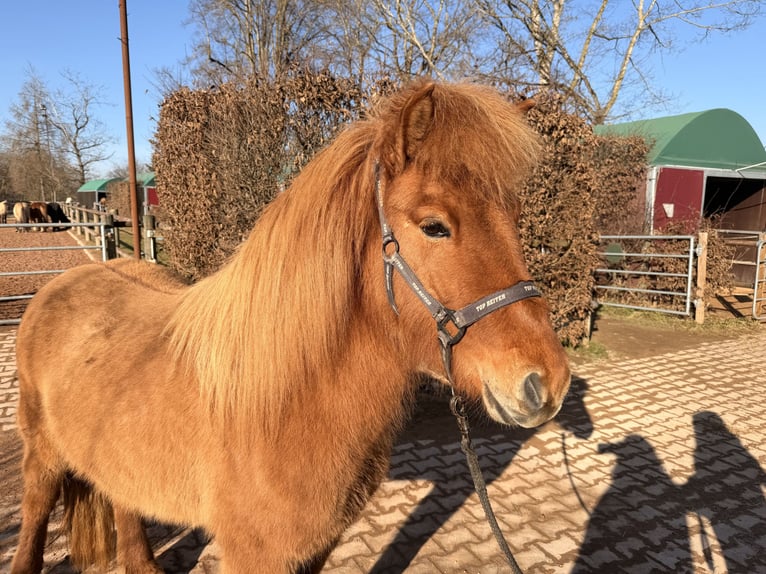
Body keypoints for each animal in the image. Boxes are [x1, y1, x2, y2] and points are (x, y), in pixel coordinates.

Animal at [11, 81, 571, 574]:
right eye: (434, 226)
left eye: (514, 216)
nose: (547, 382)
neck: (282, 404)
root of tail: (64, 282)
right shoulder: (254, 554)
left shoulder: (318, 545)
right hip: (42, 459)